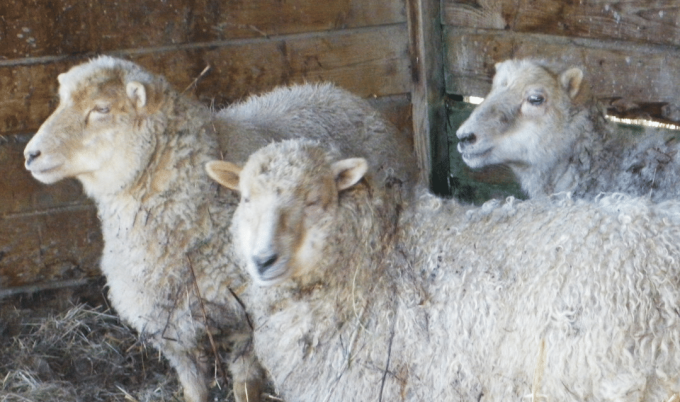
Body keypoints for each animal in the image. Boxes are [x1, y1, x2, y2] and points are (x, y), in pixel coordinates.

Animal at [22, 56, 417, 402]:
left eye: (102, 108)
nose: (30, 154)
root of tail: (334, 90)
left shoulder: (247, 322)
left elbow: (245, 389)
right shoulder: (170, 330)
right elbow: (194, 391)